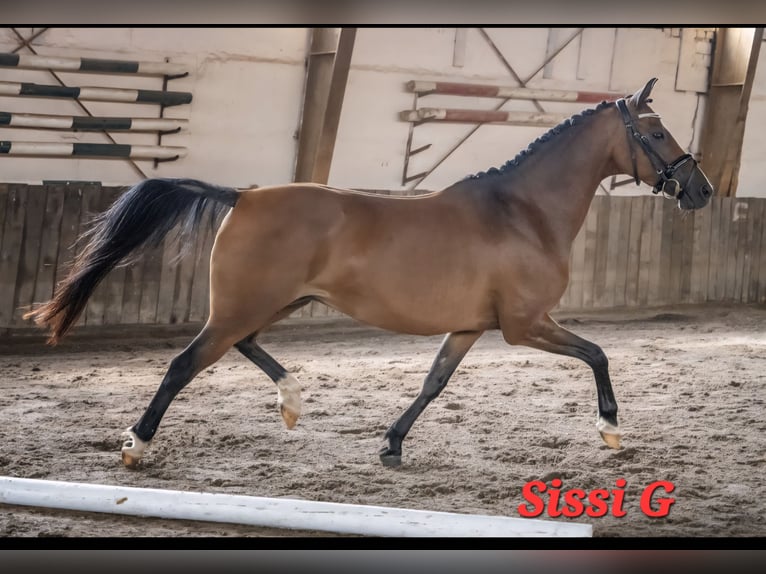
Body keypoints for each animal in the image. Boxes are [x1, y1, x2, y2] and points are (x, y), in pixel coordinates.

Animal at [25, 78, 713, 469]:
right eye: (656, 130)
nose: (701, 191)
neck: (523, 211)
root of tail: (242, 196)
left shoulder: (471, 327)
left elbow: (434, 384)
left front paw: (392, 445)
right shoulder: (525, 324)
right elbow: (598, 353)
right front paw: (611, 432)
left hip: (276, 303)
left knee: (244, 346)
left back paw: (292, 403)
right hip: (244, 305)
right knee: (183, 364)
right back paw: (137, 445)